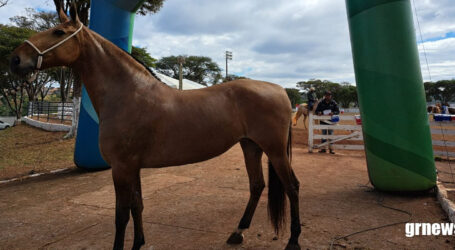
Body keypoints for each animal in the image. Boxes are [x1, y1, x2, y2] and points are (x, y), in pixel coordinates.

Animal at [9, 4, 302, 250]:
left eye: (58, 32)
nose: (15, 59)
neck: (128, 94)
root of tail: (280, 91)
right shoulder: (132, 167)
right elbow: (137, 207)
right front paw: (139, 243)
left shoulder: (121, 167)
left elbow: (121, 215)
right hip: (250, 146)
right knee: (257, 185)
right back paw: (237, 232)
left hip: (274, 150)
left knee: (292, 187)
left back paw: (293, 241)